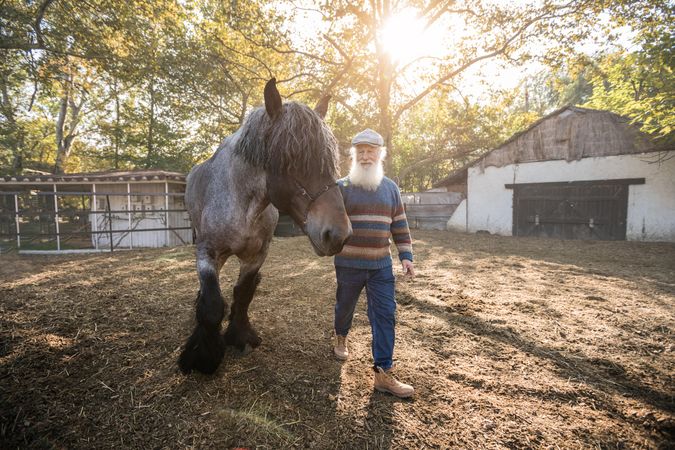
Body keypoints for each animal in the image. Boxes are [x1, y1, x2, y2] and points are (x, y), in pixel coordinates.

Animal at [178, 79, 354, 374]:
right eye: (291, 159)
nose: (338, 235)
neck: (244, 206)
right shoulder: (207, 252)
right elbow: (212, 305)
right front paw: (202, 357)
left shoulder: (256, 256)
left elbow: (243, 293)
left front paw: (240, 336)